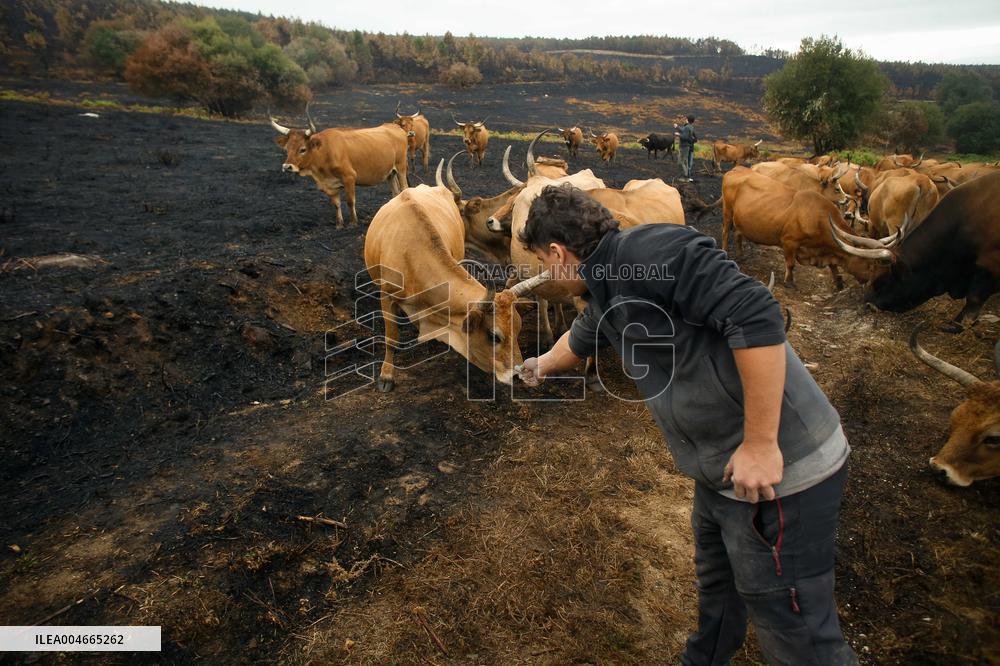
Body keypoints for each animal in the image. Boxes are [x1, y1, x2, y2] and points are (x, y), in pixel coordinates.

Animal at [271, 107, 408, 227]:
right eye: (287, 149)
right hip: (390, 173)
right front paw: (339, 224)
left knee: (404, 187)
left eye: (302, 149)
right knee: (395, 192)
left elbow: (350, 201)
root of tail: (394, 126)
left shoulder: (349, 177)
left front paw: (353, 223)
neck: (324, 152)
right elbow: (336, 204)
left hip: (401, 168)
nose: (287, 167)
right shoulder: (329, 184)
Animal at [363, 180, 552, 391]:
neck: (411, 255)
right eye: (494, 336)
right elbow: (391, 338)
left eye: (518, 328)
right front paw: (386, 375)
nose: (516, 375)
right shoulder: (386, 296)